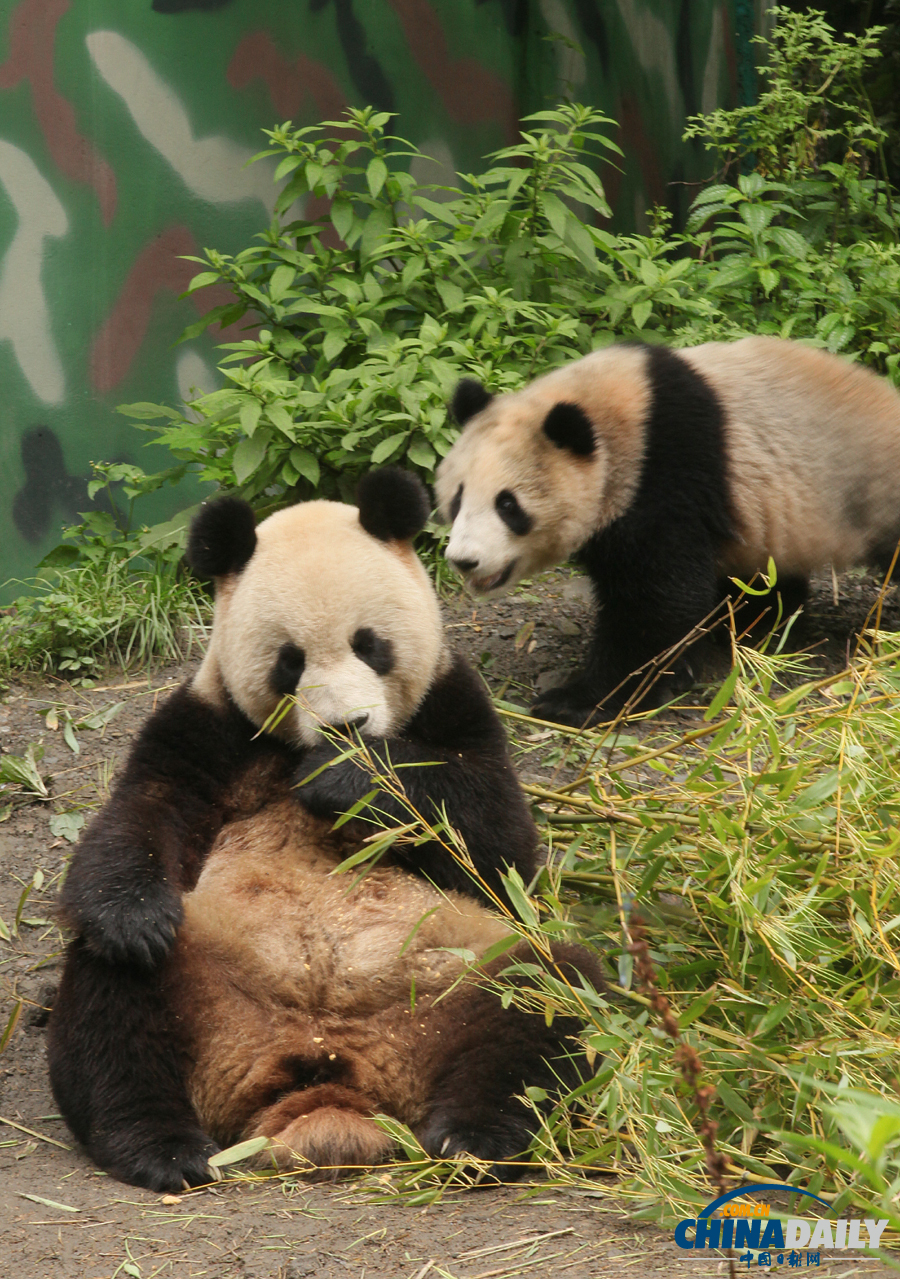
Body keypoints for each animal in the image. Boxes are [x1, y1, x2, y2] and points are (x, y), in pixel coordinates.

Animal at [45, 475, 600, 1192]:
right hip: (204, 975)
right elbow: (141, 815)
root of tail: (330, 1074)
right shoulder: (210, 725)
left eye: (370, 643)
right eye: (290, 661)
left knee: (546, 995)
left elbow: (498, 850)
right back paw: (161, 1146)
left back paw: (476, 1136)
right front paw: (135, 917)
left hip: (456, 980)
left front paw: (348, 777)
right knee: (111, 1003)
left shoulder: (455, 704)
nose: (348, 726)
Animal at [434, 335, 900, 726]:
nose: (464, 560)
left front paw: (577, 700)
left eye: (508, 505)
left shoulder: (666, 474)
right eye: (458, 498)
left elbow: (656, 599)